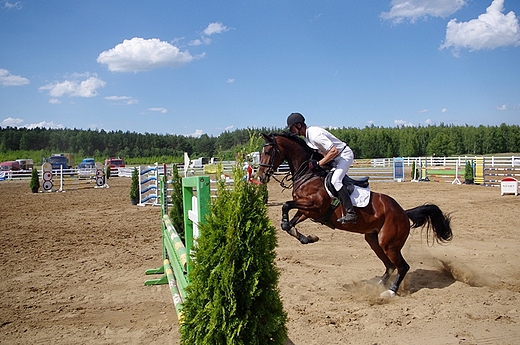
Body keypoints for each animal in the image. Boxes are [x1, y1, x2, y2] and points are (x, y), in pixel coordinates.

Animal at [258, 132, 452, 296]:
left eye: (267, 151)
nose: (260, 177)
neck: (308, 174)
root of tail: (403, 213)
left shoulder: (315, 205)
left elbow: (285, 206)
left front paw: (293, 228)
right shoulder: (307, 210)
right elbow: (290, 222)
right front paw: (308, 238)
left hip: (389, 244)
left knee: (402, 267)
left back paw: (390, 292)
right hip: (374, 240)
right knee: (390, 266)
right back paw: (378, 285)